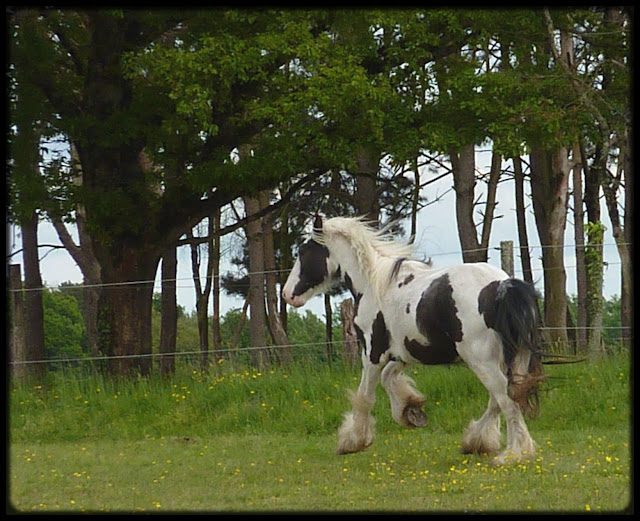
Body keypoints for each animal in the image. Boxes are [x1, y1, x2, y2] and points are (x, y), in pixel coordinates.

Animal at [284, 215, 544, 464]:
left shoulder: (372, 353)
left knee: (506, 400)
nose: (287, 294)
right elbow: (389, 379)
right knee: (500, 399)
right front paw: (411, 411)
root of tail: (503, 286)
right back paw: (478, 442)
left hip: (482, 361)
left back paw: (513, 454)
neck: (374, 284)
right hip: (513, 359)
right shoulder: (402, 353)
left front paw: (352, 441)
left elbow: (364, 396)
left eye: (303, 252)